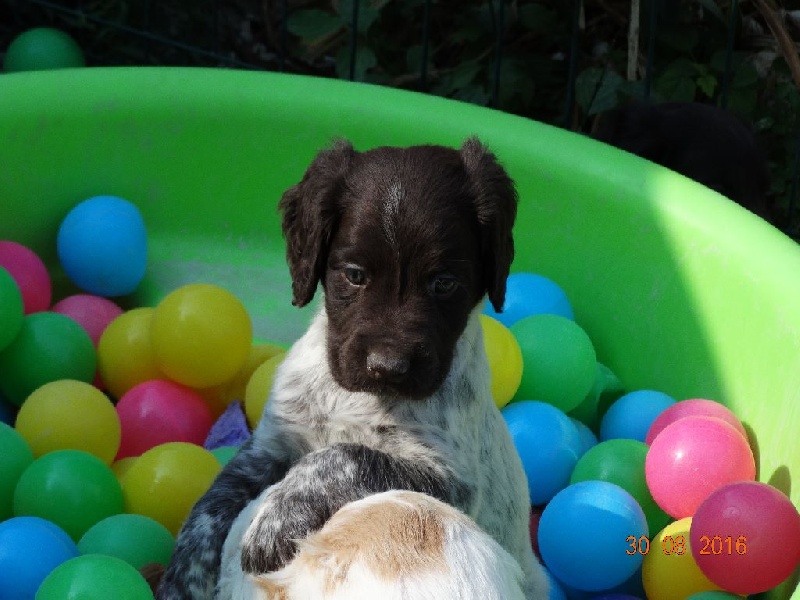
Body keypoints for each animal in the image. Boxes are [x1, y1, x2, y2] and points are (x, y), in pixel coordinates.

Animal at [157, 138, 550, 599]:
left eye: (444, 283)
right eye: (355, 275)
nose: (388, 367)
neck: (355, 397)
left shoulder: (453, 480)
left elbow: (344, 454)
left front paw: (275, 520)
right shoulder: (268, 447)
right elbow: (207, 509)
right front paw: (181, 582)